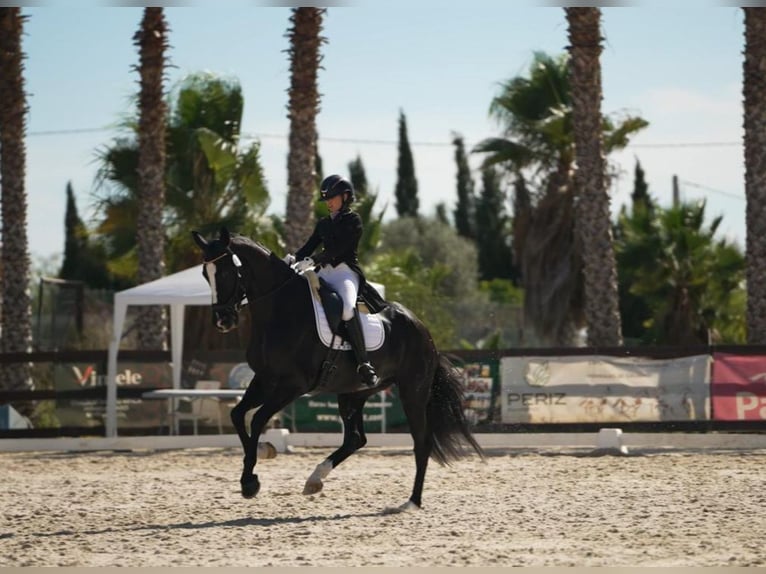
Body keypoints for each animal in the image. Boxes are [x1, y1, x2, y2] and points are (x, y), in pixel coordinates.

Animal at [192, 227, 485, 511]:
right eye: (205, 275)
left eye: (226, 271)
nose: (223, 321)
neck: (280, 309)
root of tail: (423, 330)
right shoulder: (265, 379)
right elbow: (237, 414)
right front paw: (260, 457)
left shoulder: (292, 385)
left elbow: (257, 419)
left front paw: (251, 481)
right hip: (354, 392)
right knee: (355, 439)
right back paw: (315, 479)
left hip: (413, 392)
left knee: (420, 442)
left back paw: (412, 502)